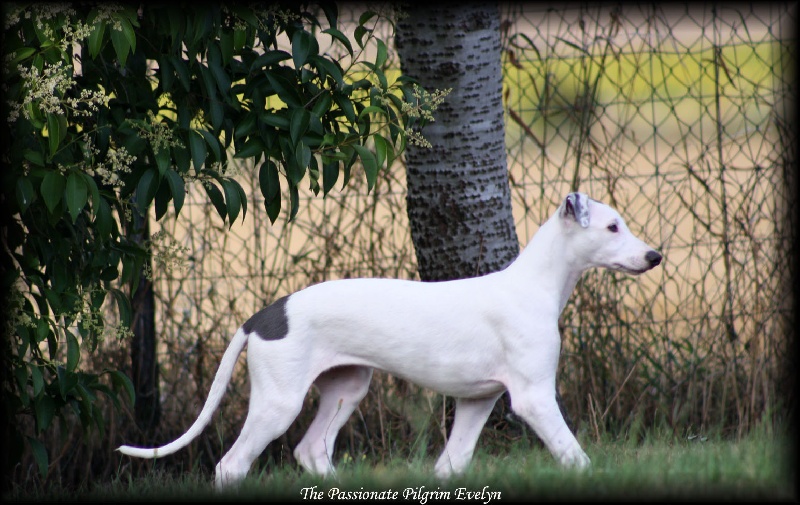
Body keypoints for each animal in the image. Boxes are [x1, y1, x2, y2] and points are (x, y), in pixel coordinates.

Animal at [118, 192, 662, 489]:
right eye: (612, 226)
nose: (655, 256)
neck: (533, 285)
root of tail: (261, 317)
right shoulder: (533, 399)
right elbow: (575, 456)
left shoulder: (477, 402)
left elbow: (451, 465)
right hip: (279, 401)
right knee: (232, 466)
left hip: (346, 388)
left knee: (311, 451)